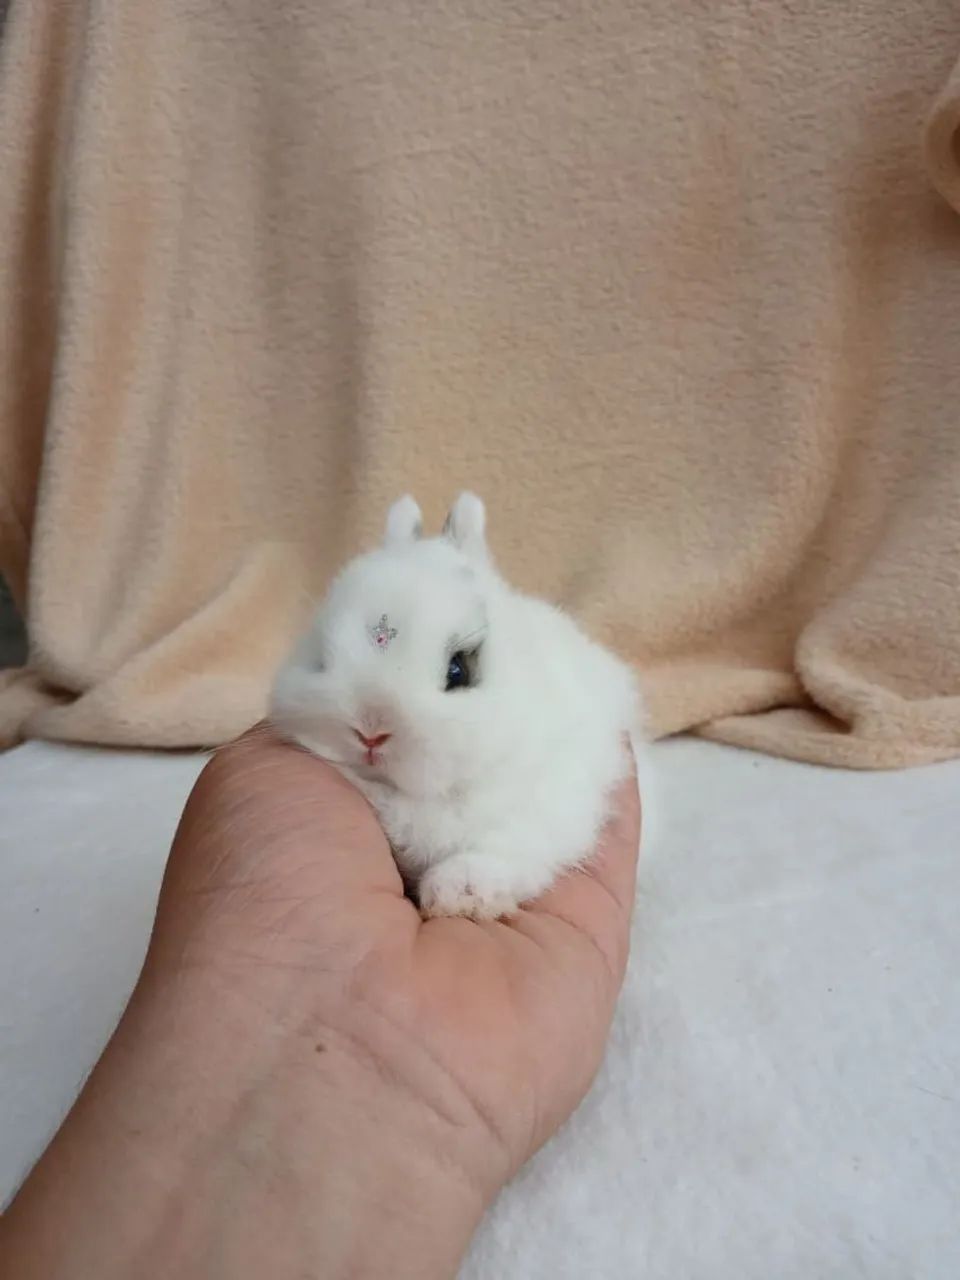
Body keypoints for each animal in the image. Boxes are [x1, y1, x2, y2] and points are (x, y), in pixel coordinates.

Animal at [270, 492, 650, 920]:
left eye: (459, 669)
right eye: (320, 658)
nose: (370, 731)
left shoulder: (555, 798)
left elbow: (508, 846)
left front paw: (460, 894)